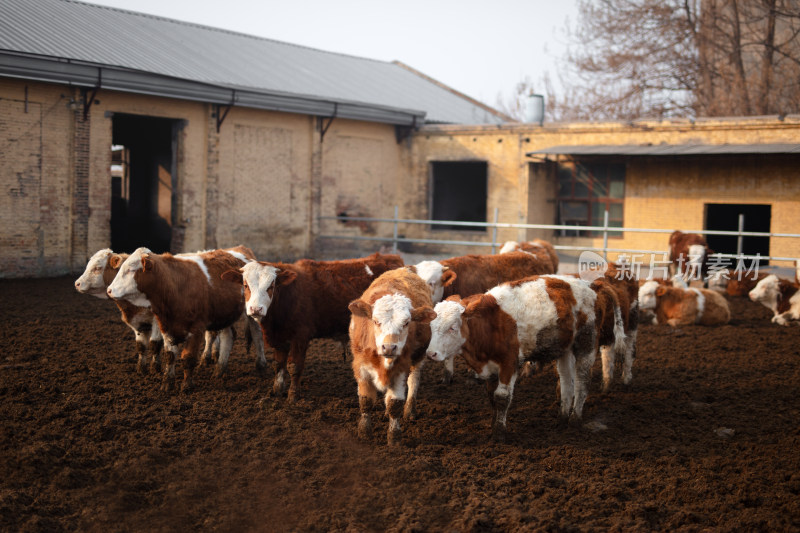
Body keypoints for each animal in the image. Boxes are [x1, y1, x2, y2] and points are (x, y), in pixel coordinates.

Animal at [105, 245, 260, 390]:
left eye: (131, 270)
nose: (109, 290)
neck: (175, 287)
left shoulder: (196, 329)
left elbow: (188, 357)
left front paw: (187, 385)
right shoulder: (166, 328)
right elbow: (170, 356)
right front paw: (167, 383)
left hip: (252, 311)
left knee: (256, 335)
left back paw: (261, 367)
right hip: (224, 315)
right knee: (228, 336)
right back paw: (219, 370)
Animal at [222, 252, 404, 400]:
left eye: (271, 286)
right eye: (246, 285)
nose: (256, 309)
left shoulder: (300, 337)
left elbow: (294, 366)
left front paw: (292, 396)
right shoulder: (280, 337)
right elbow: (279, 364)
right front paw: (277, 390)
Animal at [350, 266, 438, 444]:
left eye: (406, 323)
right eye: (376, 321)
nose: (389, 347)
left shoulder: (401, 368)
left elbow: (394, 403)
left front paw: (394, 437)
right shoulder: (361, 367)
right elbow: (366, 401)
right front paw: (364, 433)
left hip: (419, 358)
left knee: (414, 381)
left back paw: (410, 410)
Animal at [424, 274, 600, 440]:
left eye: (452, 328)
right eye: (431, 326)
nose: (431, 353)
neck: (488, 326)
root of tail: (587, 286)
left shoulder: (509, 362)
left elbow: (501, 397)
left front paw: (499, 433)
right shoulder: (491, 366)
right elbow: (491, 396)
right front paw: (492, 424)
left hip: (586, 342)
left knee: (582, 382)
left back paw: (575, 420)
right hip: (564, 349)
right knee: (566, 382)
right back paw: (562, 419)